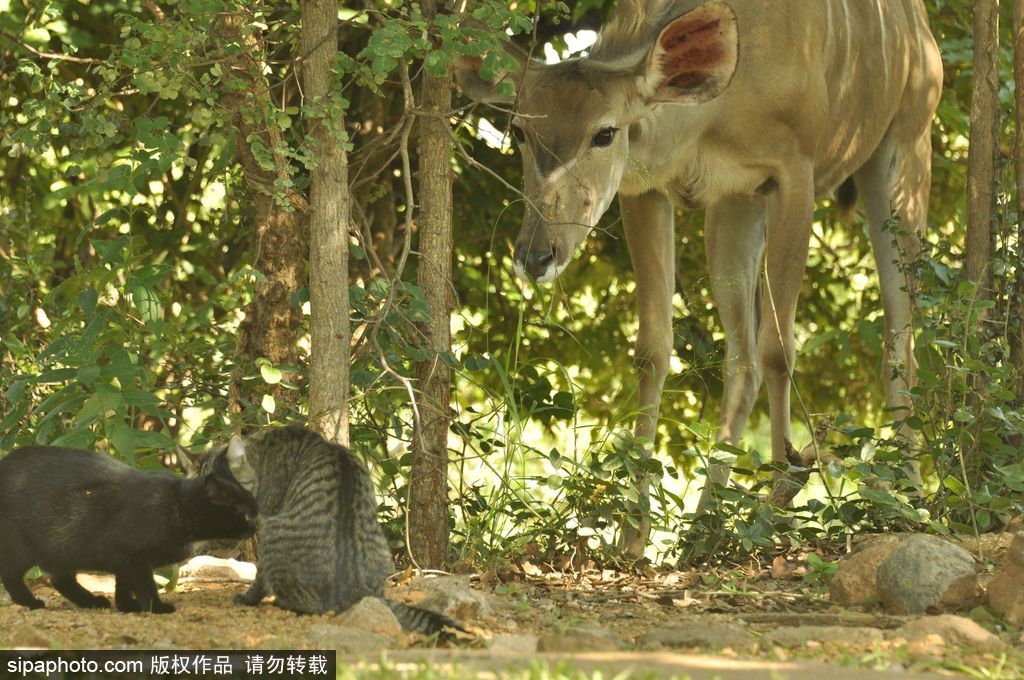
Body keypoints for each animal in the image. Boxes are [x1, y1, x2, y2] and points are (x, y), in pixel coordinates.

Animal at [0, 444, 258, 614]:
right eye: (246, 514)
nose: (255, 525)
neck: (176, 506)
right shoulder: (133, 557)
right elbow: (145, 585)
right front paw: (157, 608)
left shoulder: (124, 560)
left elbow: (123, 585)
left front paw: (127, 606)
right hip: (23, 545)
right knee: (11, 575)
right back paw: (30, 602)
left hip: (63, 546)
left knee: (61, 579)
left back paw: (91, 602)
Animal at [224, 426, 464, 639]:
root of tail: (359, 590)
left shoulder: (268, 517)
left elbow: (259, 577)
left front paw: (249, 597)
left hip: (275, 535)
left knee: (308, 605)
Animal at [456, 0, 942, 553]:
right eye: (519, 130)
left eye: (604, 133)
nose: (537, 255)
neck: (714, 114)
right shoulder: (649, 188)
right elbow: (653, 348)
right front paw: (634, 534)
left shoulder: (796, 174)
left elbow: (781, 348)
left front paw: (781, 499)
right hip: (736, 207)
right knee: (742, 358)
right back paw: (704, 528)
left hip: (904, 151)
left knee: (897, 342)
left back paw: (910, 501)